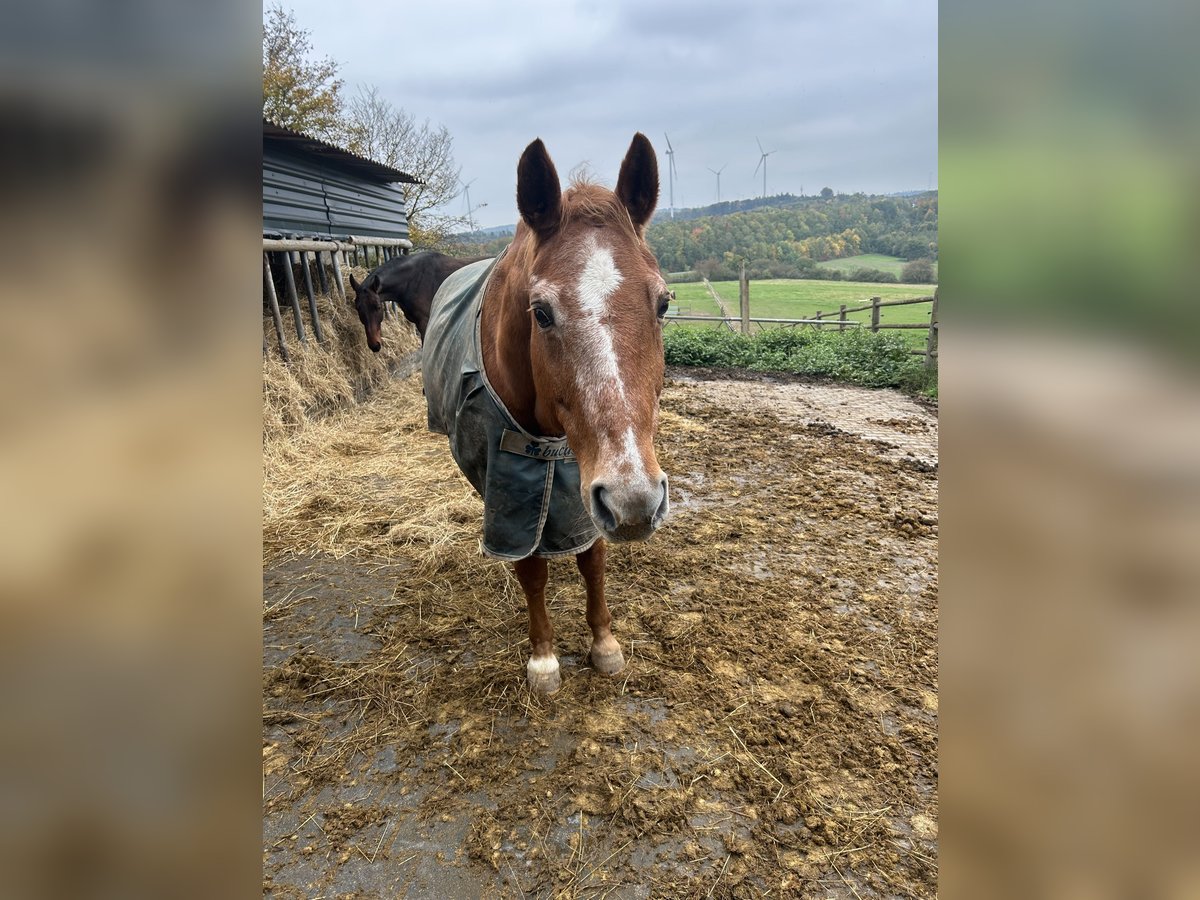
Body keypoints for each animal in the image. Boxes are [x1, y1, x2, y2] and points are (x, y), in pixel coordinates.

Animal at [422, 133, 671, 694]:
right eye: (540, 313)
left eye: (664, 303)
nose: (636, 500)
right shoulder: (515, 489)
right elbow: (532, 568)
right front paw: (543, 658)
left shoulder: (584, 481)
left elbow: (592, 558)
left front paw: (604, 644)